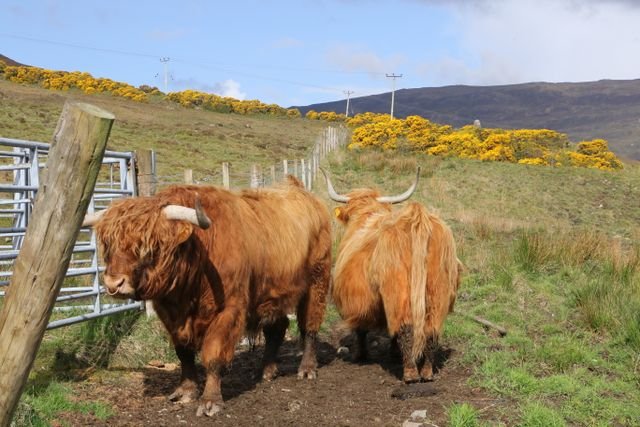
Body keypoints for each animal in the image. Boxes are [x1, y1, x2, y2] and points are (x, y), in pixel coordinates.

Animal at [82, 177, 332, 416]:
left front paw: (210, 401)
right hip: (270, 294)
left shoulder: (228, 310)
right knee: (277, 328)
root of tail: (301, 190)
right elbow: (183, 353)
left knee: (310, 325)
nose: (114, 283)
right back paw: (266, 371)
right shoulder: (169, 315)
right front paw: (185, 391)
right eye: (108, 245)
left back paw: (307, 369)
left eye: (149, 247)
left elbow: (213, 354)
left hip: (317, 280)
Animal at [321, 167, 461, 383]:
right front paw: (393, 354)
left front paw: (360, 355)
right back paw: (426, 372)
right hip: (437, 289)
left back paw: (410, 374)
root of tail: (417, 218)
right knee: (430, 330)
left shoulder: (359, 298)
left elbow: (361, 328)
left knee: (406, 327)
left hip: (398, 289)